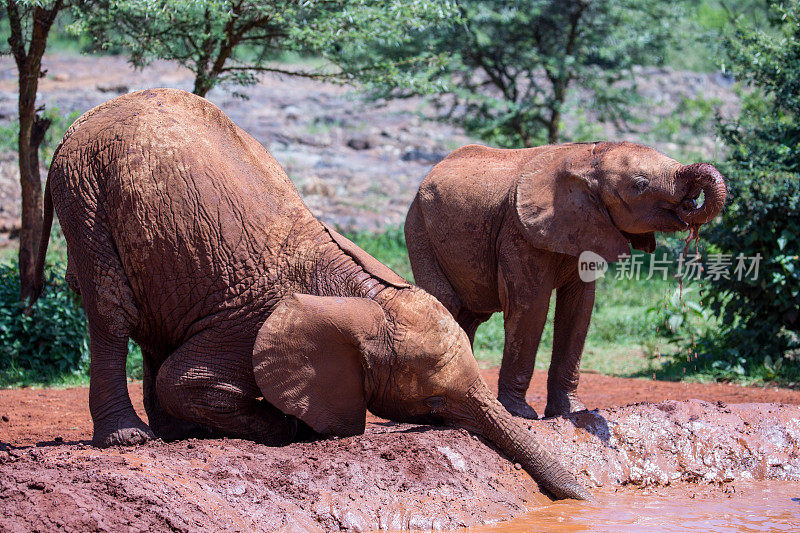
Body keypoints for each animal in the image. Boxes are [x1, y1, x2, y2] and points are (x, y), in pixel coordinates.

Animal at [29, 89, 588, 500]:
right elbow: (184, 380)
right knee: (112, 309)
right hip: (85, 190)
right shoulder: (246, 325)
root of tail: (77, 126)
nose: (581, 497)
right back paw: (130, 438)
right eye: (432, 402)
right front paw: (291, 427)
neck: (361, 295)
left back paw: (174, 435)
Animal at [406, 142, 724, 420]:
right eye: (640, 184)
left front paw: (572, 412)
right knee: (447, 305)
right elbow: (531, 306)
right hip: (419, 229)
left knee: (470, 317)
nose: (690, 204)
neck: (588, 157)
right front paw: (520, 414)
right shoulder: (518, 232)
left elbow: (579, 308)